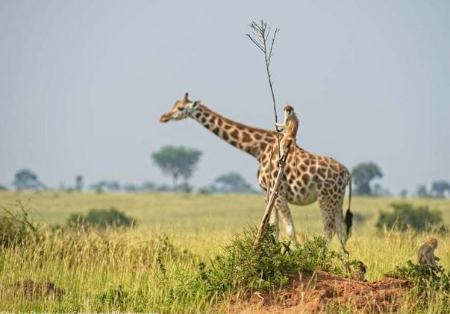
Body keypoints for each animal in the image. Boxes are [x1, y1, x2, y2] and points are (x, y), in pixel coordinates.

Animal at [160, 92, 354, 255]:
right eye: (174, 104)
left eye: (180, 108)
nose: (163, 117)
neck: (257, 149)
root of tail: (347, 174)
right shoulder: (268, 192)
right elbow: (273, 227)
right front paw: (274, 253)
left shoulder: (278, 192)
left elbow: (289, 229)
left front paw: (295, 255)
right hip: (337, 199)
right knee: (341, 230)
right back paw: (344, 264)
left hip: (325, 197)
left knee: (328, 229)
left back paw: (323, 258)